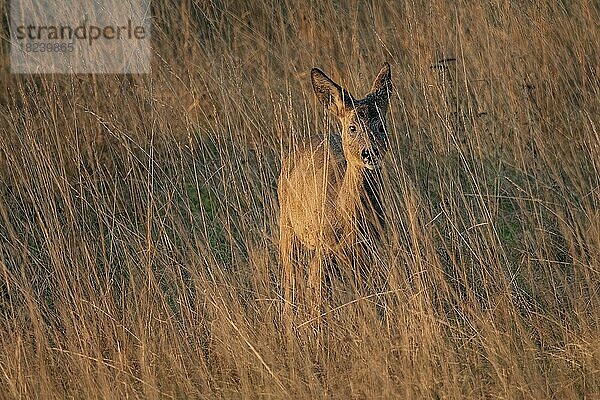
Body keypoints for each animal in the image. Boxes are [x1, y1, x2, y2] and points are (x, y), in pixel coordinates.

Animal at [278, 63, 392, 310]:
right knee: (291, 279)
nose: (369, 152)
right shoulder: (324, 248)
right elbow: (316, 297)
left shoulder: (371, 249)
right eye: (352, 127)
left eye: (380, 126)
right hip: (287, 226)